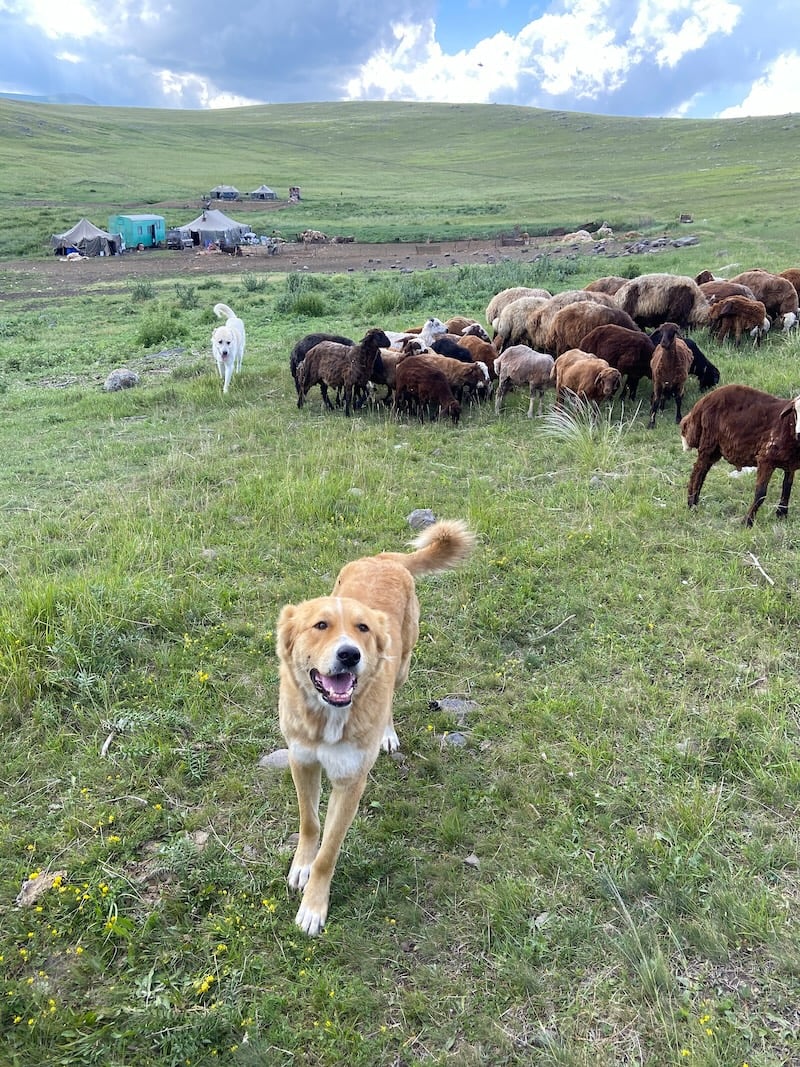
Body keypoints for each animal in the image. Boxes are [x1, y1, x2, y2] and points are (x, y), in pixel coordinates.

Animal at [277, 516, 475, 934]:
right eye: (320, 625)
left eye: (362, 628)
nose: (349, 655)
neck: (328, 715)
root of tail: (383, 559)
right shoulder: (301, 761)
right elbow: (309, 823)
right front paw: (301, 866)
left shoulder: (350, 782)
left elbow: (329, 851)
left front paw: (314, 906)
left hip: (401, 665)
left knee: (390, 702)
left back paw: (386, 733)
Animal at [678, 388, 800, 529]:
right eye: (796, 412)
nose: (799, 434)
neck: (788, 425)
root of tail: (700, 405)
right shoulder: (766, 458)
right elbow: (760, 493)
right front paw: (747, 522)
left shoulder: (790, 464)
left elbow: (787, 488)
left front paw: (782, 515)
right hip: (708, 444)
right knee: (697, 472)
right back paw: (692, 504)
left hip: (714, 448)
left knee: (701, 472)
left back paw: (693, 502)